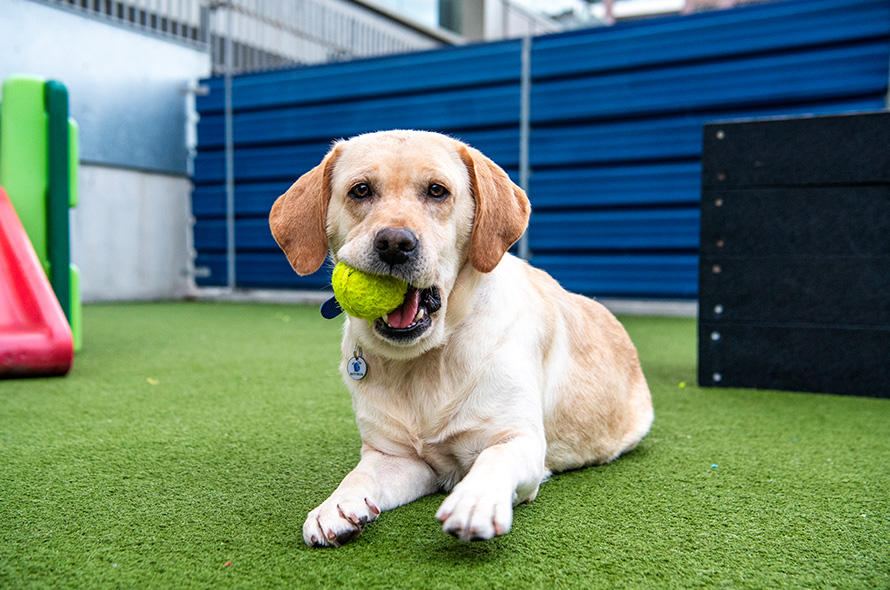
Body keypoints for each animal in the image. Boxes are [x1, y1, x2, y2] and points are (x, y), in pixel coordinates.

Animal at [268, 132, 648, 548]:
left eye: (437, 190)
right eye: (361, 190)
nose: (394, 243)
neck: (425, 360)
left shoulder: (521, 440)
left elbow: (493, 459)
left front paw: (475, 500)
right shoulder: (396, 457)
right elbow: (360, 474)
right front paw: (336, 504)